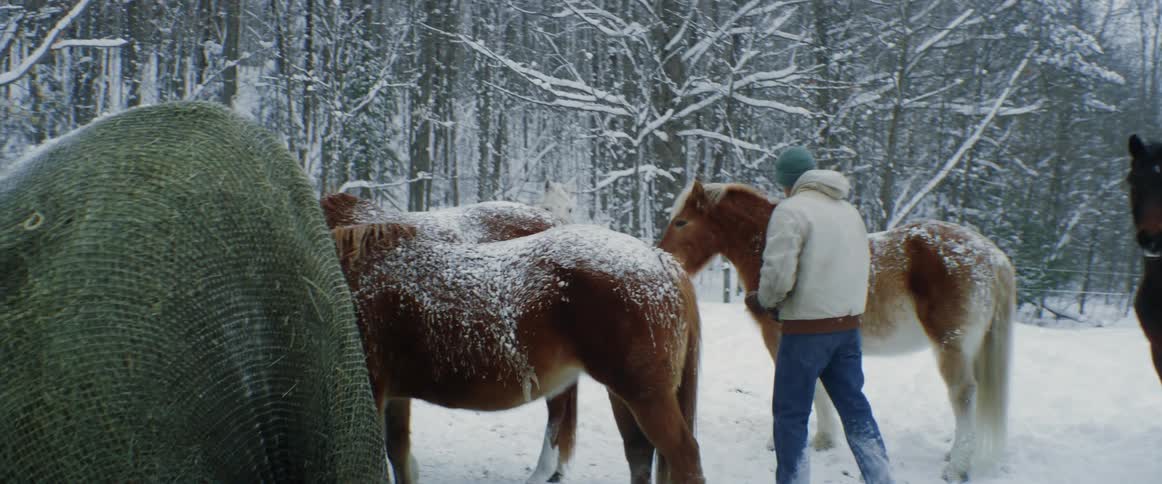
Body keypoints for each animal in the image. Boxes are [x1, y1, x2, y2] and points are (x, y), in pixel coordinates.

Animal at [329, 221, 705, 484]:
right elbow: (400, 457)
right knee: (639, 454)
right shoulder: (396, 395)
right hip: (624, 394)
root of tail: (660, 260)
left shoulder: (373, 389)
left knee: (684, 457)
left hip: (647, 396)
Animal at [659, 180, 1015, 482]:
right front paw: (826, 438)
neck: (765, 245)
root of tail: (992, 256)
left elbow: (813, 391)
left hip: (950, 347)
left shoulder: (785, 343)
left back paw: (957, 467)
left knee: (963, 394)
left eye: (682, 222)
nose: (664, 257)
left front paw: (814, 439)